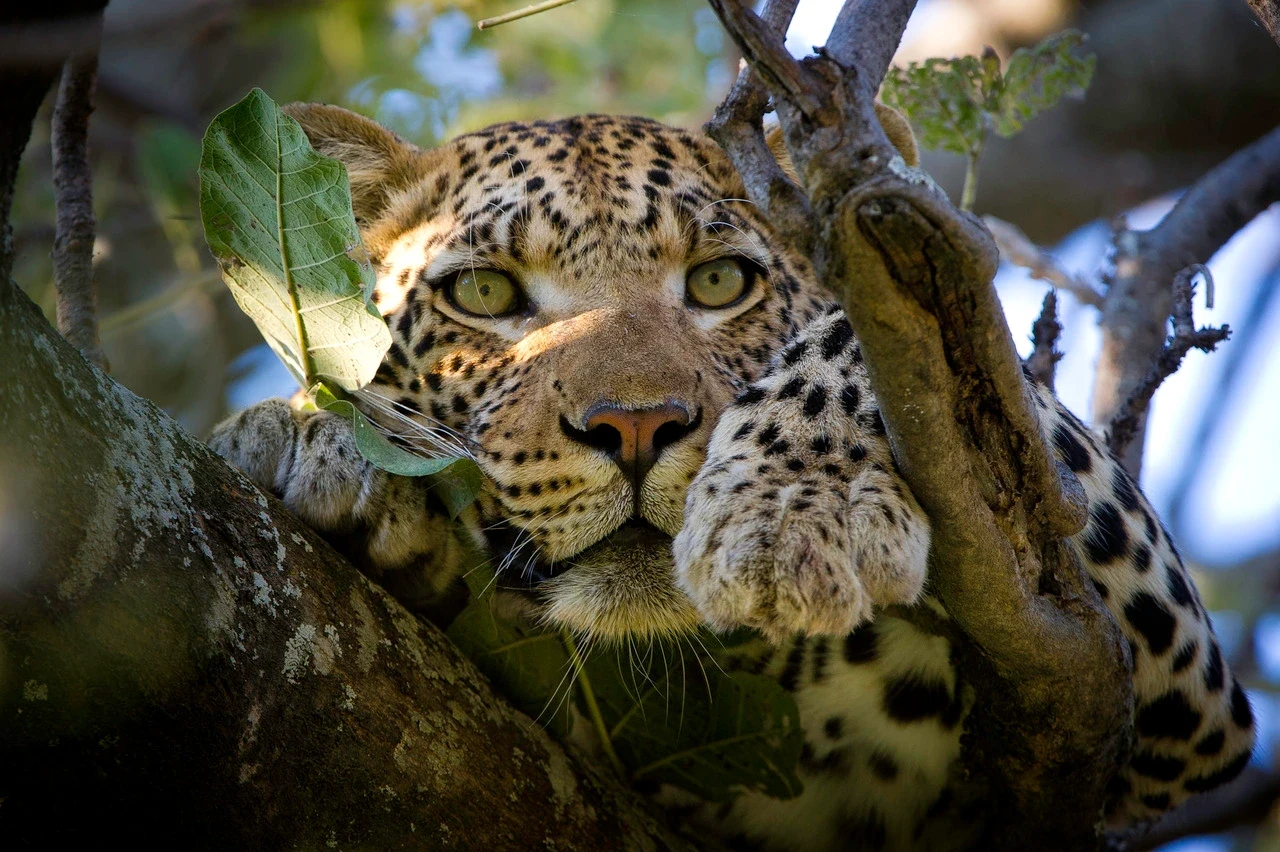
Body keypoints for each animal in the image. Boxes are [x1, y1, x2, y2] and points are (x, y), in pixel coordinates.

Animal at [208, 101, 1255, 850]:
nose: (635, 427)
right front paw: (308, 435)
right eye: (484, 292)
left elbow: (859, 334)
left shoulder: (1173, 689)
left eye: (719, 282)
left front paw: (790, 509)